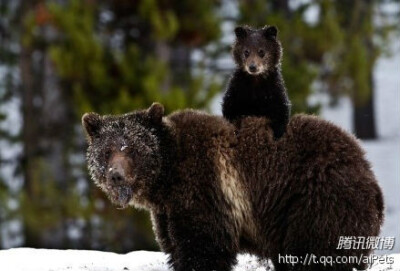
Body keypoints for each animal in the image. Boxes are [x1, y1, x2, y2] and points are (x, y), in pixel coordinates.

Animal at [82, 104, 384, 271]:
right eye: (107, 151)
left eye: (132, 149)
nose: (116, 176)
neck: (166, 179)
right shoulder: (168, 212)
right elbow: (176, 247)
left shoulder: (206, 189)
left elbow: (203, 249)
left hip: (315, 202)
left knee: (318, 254)